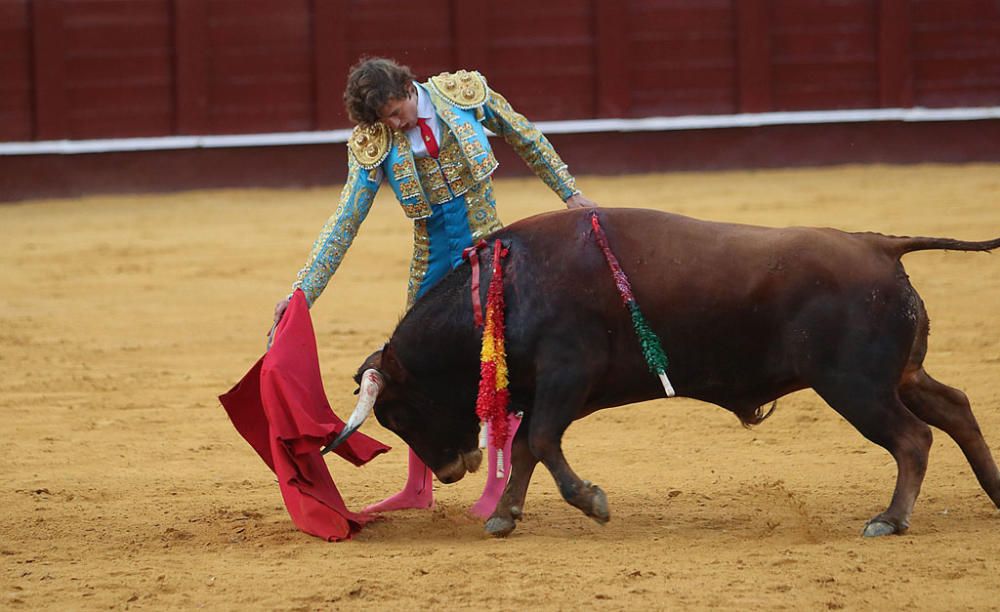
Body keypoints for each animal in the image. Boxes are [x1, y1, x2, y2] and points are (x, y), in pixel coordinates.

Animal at [324, 208, 996, 536]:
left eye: (399, 411)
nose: (449, 471)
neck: (509, 288)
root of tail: (878, 244)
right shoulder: (548, 388)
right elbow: (528, 449)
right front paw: (503, 516)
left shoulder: (568, 374)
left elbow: (540, 441)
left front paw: (592, 503)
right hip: (898, 377)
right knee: (957, 407)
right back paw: (994, 490)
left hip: (855, 387)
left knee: (914, 437)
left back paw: (890, 519)